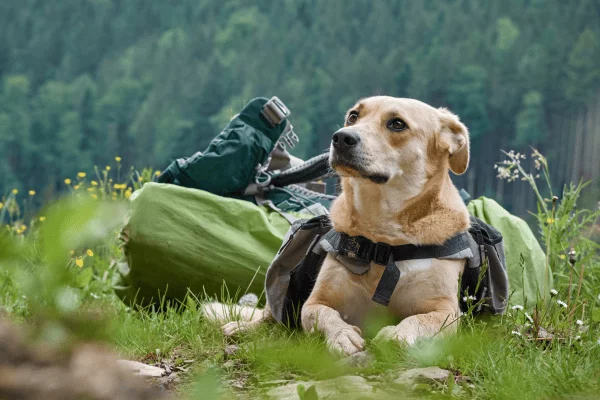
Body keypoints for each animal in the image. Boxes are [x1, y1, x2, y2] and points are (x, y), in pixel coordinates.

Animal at [209, 97, 472, 356]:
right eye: (353, 116)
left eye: (397, 124)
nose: (341, 137)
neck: (382, 241)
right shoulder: (316, 300)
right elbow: (321, 314)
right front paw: (342, 335)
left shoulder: (446, 311)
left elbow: (419, 320)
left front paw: (397, 335)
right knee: (269, 317)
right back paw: (241, 328)